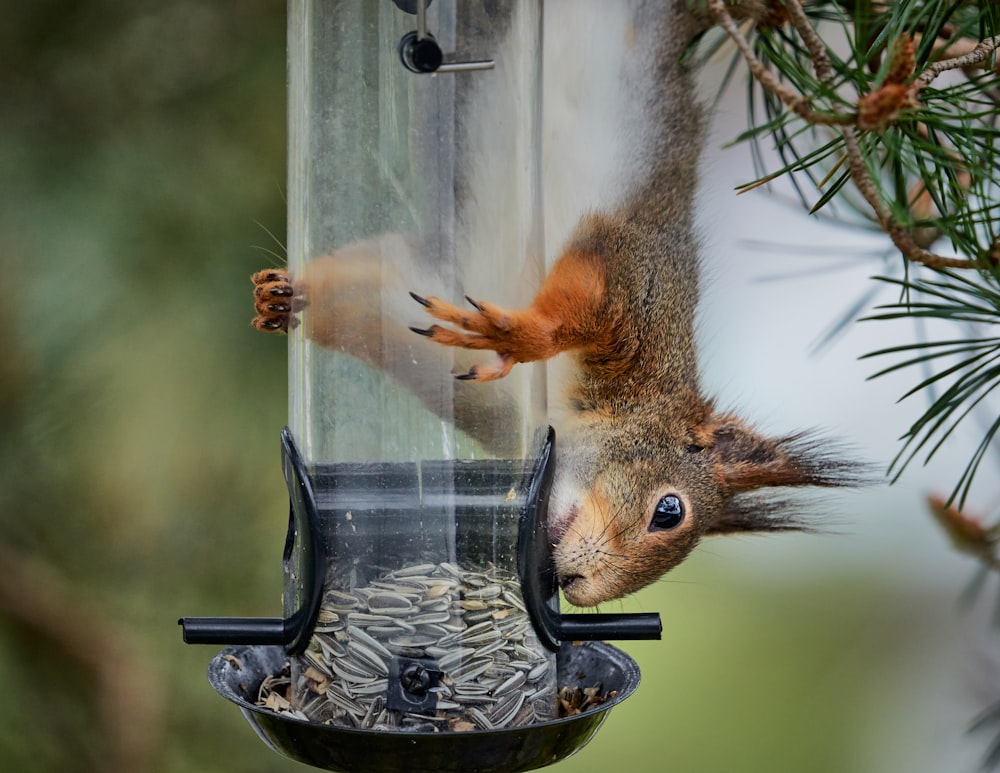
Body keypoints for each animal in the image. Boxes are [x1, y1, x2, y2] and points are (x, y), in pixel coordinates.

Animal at [252, 1, 868, 608]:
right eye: (669, 511)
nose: (578, 587)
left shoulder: (414, 314)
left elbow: (359, 296)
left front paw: (292, 295)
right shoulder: (634, 282)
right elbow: (579, 304)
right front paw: (515, 337)